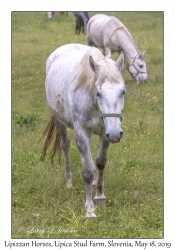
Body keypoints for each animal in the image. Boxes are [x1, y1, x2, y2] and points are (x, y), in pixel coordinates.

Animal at [40, 44, 126, 218]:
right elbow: (87, 171)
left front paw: (99, 196)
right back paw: (68, 182)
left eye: (123, 91)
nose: (116, 134)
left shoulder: (105, 134)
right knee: (65, 146)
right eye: (98, 92)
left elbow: (100, 163)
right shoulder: (81, 133)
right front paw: (90, 210)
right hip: (59, 122)